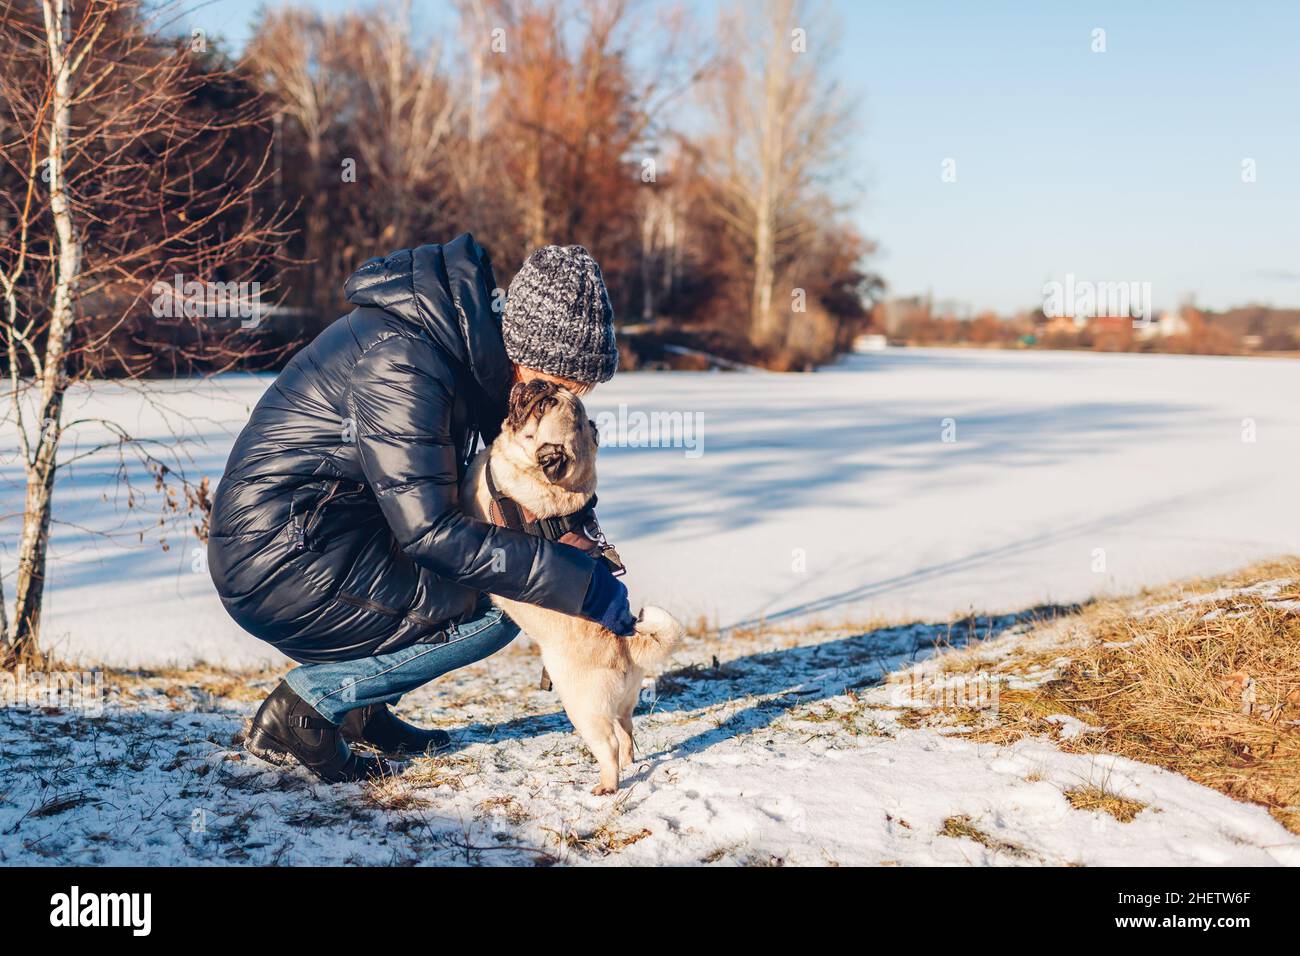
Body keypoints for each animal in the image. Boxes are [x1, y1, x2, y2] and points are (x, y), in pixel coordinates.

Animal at [467, 379, 691, 790]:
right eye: (545, 395)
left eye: (543, 406)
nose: (536, 385)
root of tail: (626, 645)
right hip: (623, 703)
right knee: (627, 728)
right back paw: (631, 760)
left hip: (582, 709)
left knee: (609, 745)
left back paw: (608, 784)